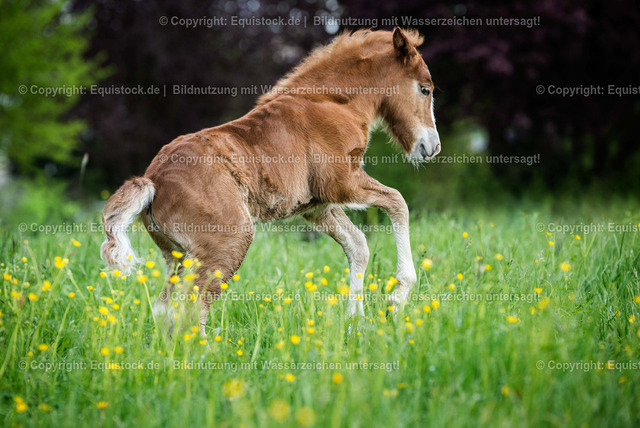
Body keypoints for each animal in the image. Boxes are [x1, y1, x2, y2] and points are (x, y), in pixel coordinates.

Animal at [101, 27, 441, 335]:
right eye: (425, 89)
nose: (433, 147)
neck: (333, 102)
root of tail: (151, 181)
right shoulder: (341, 182)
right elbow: (398, 202)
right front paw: (397, 298)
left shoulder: (316, 206)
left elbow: (358, 245)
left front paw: (354, 322)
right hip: (228, 241)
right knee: (192, 308)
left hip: (179, 256)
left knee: (164, 309)